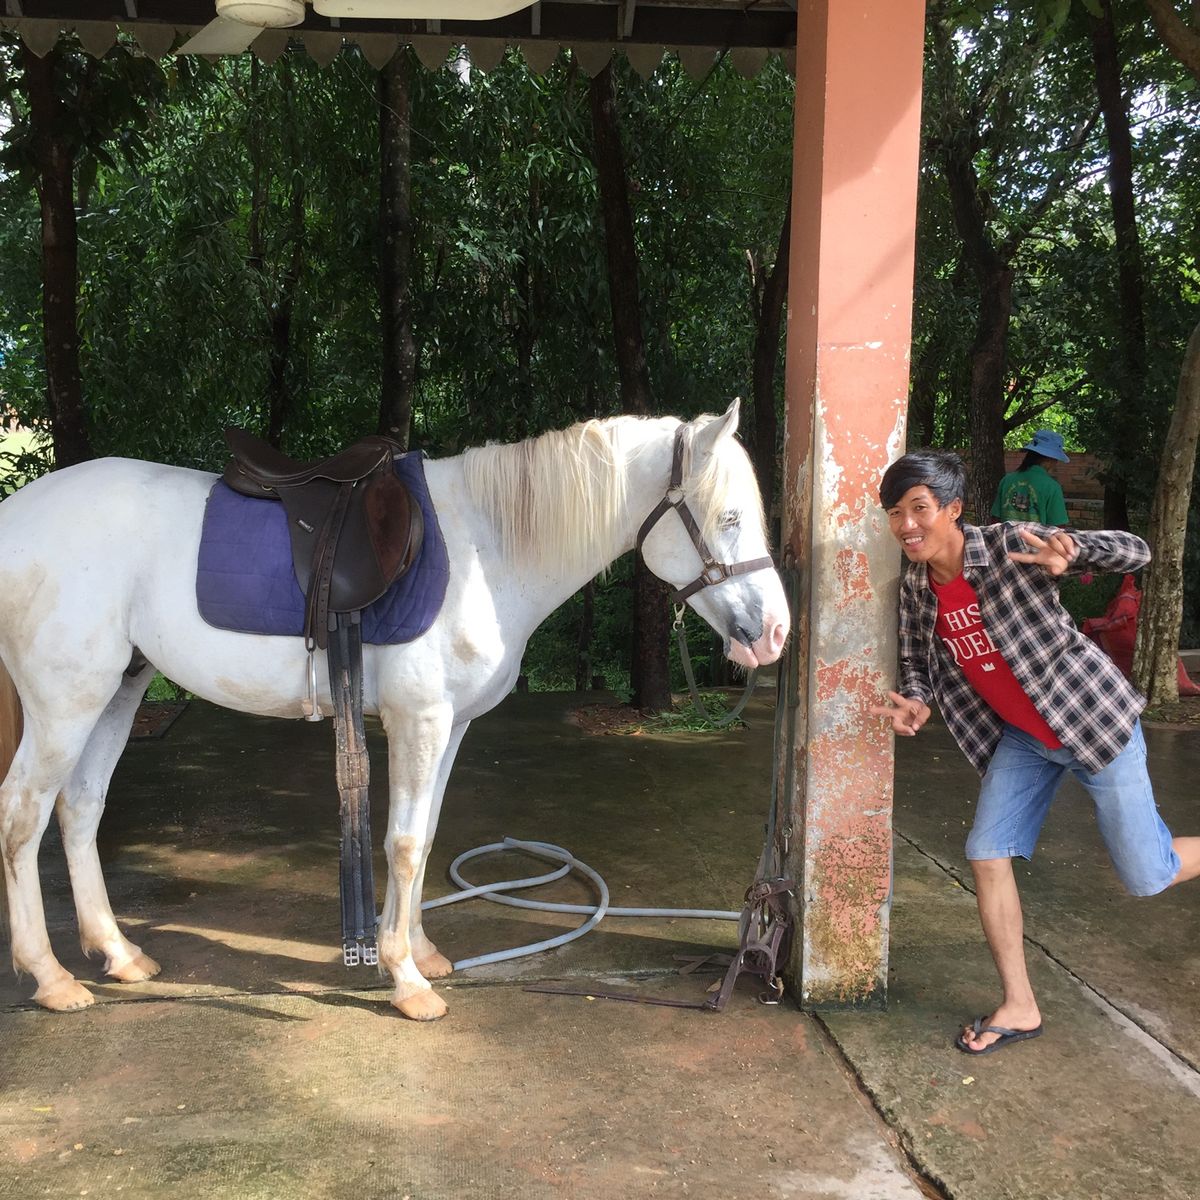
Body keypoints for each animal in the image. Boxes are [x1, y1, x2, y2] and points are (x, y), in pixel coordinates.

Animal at [0, 399, 788, 1020]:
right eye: (728, 517)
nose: (775, 633)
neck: (486, 550)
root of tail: (15, 515)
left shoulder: (452, 726)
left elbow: (427, 834)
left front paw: (416, 951)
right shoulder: (421, 719)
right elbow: (404, 844)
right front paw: (406, 981)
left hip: (118, 692)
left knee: (80, 809)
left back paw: (118, 953)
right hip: (66, 703)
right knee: (22, 816)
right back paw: (51, 977)